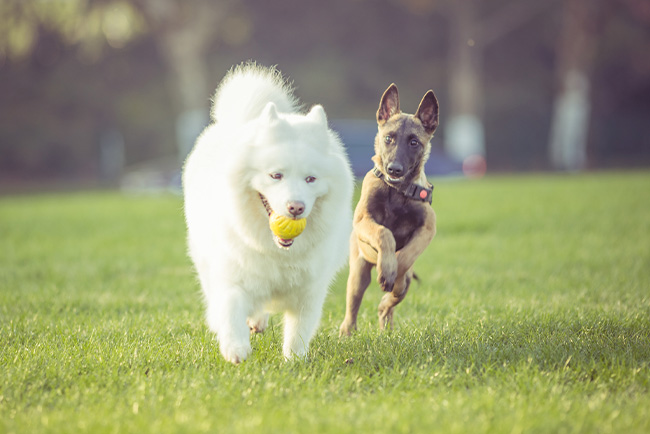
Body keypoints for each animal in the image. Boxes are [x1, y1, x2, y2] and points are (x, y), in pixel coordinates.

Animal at [182, 63, 352, 362]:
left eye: (311, 179)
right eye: (276, 175)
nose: (295, 207)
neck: (278, 252)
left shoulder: (309, 292)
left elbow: (298, 332)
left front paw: (293, 361)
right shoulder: (233, 276)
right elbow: (230, 309)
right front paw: (235, 348)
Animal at [336, 84, 438, 336]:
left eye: (414, 142)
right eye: (388, 138)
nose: (394, 169)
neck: (397, 191)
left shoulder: (428, 228)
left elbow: (406, 257)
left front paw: (393, 273)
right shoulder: (364, 221)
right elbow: (385, 233)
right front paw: (388, 268)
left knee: (390, 303)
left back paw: (386, 321)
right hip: (358, 272)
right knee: (352, 306)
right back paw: (346, 333)